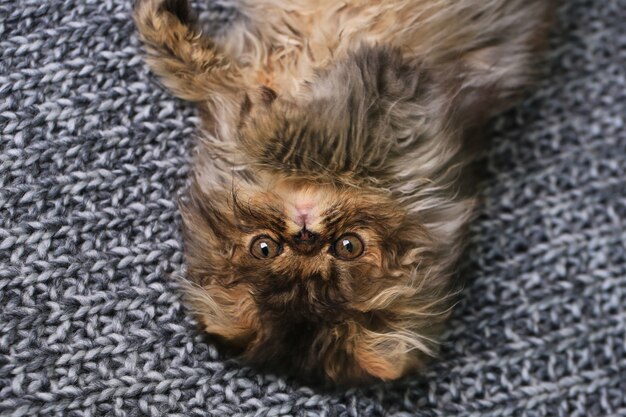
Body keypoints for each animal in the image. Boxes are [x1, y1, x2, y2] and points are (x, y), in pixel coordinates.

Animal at [134, 0, 548, 384]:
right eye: (265, 248)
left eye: (348, 246)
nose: (305, 235)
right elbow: (203, 72)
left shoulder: (388, 109)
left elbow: (290, 134)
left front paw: (261, 118)